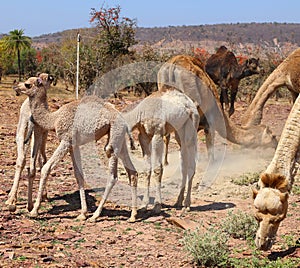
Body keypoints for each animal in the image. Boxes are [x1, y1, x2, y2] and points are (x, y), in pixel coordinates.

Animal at [13, 74, 138, 222]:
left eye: (27, 84)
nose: (16, 86)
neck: (54, 118)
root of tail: (124, 121)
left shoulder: (66, 140)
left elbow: (46, 168)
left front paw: (34, 211)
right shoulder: (74, 145)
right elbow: (78, 175)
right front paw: (83, 213)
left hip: (114, 136)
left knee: (113, 174)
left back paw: (95, 216)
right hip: (120, 139)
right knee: (132, 172)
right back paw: (133, 216)